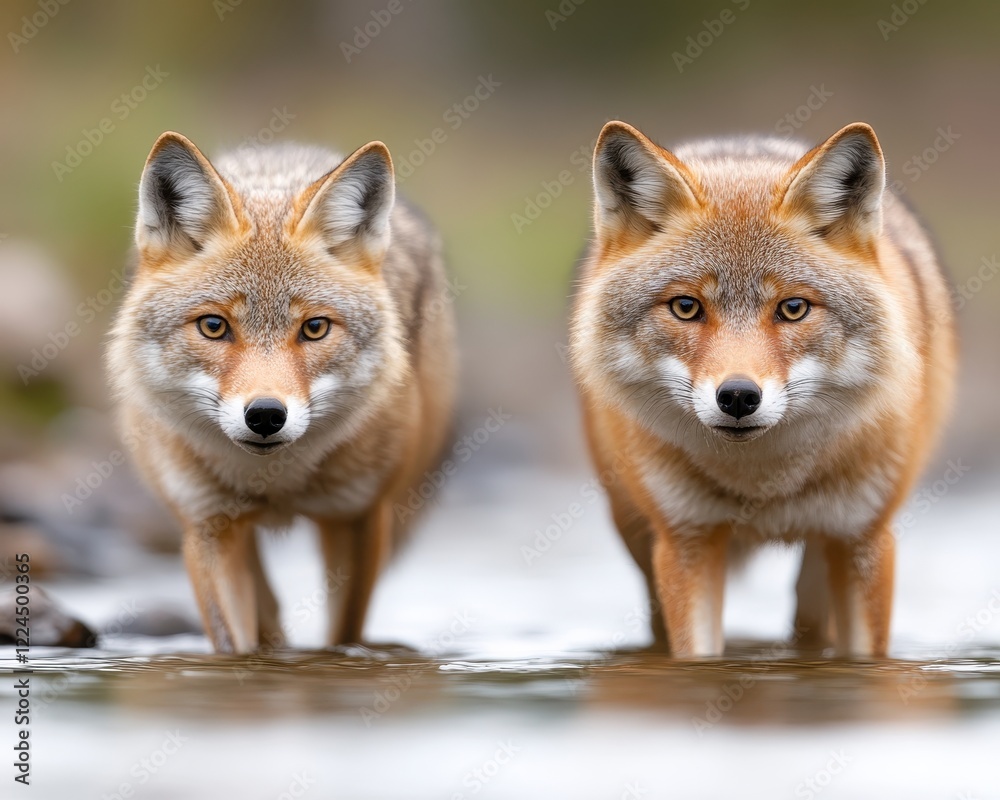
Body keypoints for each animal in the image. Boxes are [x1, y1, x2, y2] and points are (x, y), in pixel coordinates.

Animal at [107, 132, 456, 654]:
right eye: (214, 326)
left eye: (314, 328)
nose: (267, 415)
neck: (276, 486)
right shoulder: (209, 527)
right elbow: (235, 644)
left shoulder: (356, 518)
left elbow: (342, 636)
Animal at [569, 120, 956, 658]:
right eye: (686, 307)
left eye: (793, 308)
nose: (737, 397)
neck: (764, 489)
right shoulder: (687, 542)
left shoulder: (864, 539)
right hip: (637, 536)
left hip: (821, 556)